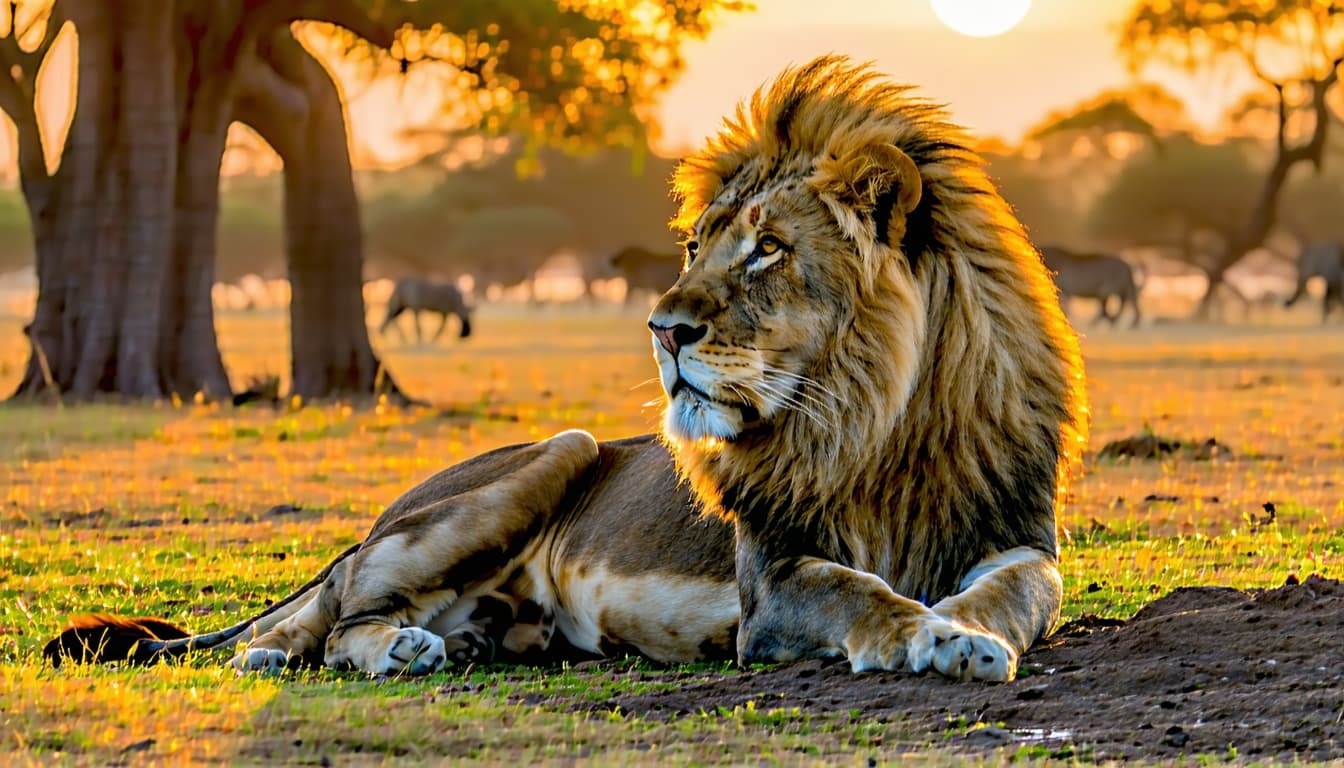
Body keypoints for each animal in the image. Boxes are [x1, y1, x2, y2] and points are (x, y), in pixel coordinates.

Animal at [46, 56, 1087, 683]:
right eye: (700, 244)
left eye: (767, 251)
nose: (662, 329)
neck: (876, 424)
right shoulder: (774, 583)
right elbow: (859, 592)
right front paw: (935, 634)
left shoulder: (1020, 540)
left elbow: (1018, 593)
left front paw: (970, 628)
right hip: (559, 450)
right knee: (333, 620)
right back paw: (369, 651)